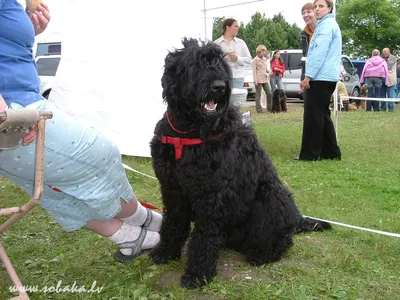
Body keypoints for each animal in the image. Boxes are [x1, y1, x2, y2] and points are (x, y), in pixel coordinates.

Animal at [148, 38, 330, 290]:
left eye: (219, 63)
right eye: (195, 64)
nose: (219, 87)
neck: (188, 132)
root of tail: (297, 220)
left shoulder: (210, 195)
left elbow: (204, 236)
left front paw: (198, 273)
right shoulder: (172, 190)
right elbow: (172, 224)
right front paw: (164, 252)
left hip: (269, 197)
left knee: (281, 241)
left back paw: (262, 253)